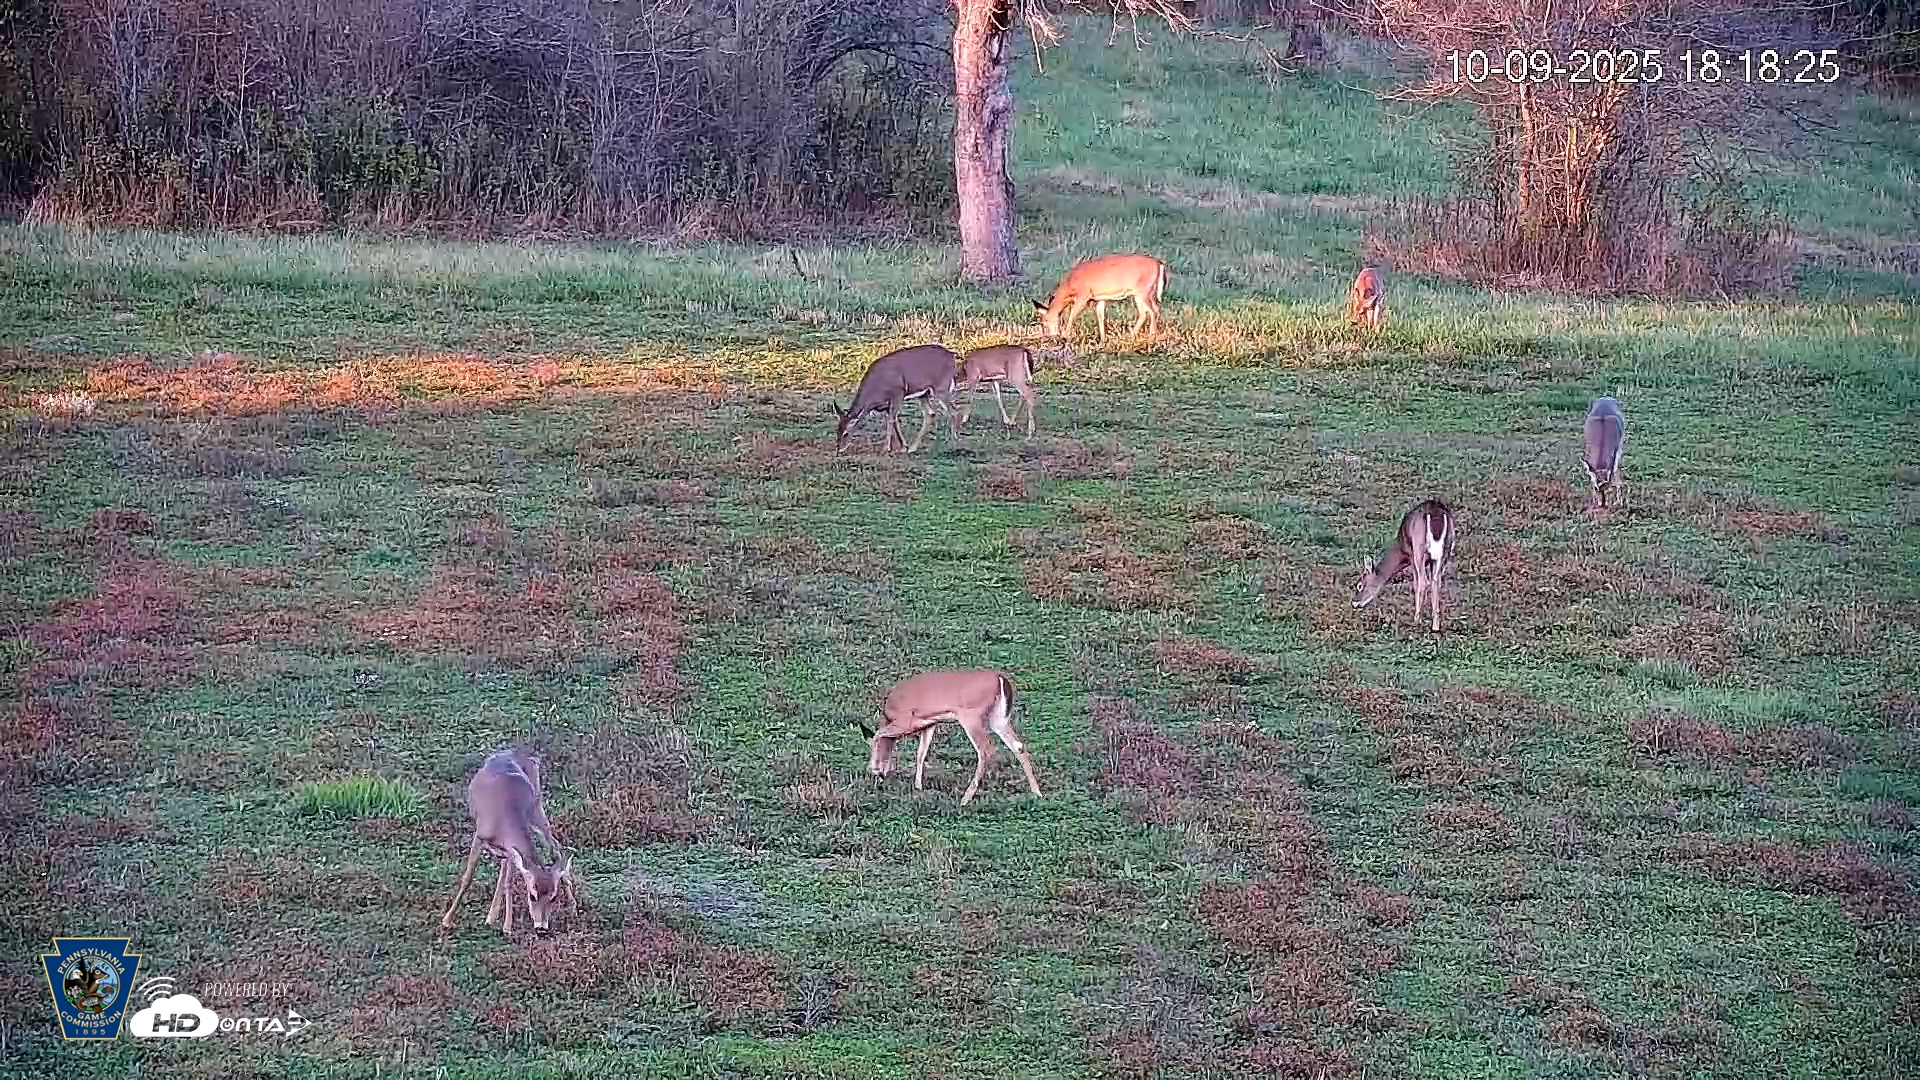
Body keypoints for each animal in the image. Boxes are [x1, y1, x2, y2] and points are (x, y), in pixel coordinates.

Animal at [440, 746, 578, 938]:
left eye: (553, 897)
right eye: (532, 896)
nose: (542, 928)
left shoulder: (511, 850)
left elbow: (508, 884)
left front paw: (507, 927)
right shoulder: (480, 836)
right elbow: (467, 878)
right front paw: (447, 920)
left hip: (537, 810)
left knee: (556, 848)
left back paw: (573, 905)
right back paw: (490, 918)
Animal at [834, 344, 962, 454]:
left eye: (846, 433)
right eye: (837, 431)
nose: (839, 449)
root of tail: (952, 355)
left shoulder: (898, 393)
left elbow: (891, 420)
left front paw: (886, 448)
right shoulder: (887, 404)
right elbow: (894, 420)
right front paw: (903, 446)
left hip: (941, 387)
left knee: (953, 411)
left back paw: (953, 445)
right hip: (924, 394)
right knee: (931, 413)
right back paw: (913, 448)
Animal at [854, 670, 1042, 808]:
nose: (879, 775)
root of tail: (1001, 679)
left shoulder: (906, 720)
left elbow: (878, 735)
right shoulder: (930, 724)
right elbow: (921, 753)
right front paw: (918, 787)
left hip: (971, 716)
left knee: (985, 749)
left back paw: (965, 799)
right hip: (999, 719)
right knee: (1018, 745)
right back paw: (1037, 792)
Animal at [1032, 254, 1167, 343]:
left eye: (1044, 322)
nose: (1050, 337)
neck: (1070, 285)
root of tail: (1159, 264)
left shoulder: (1084, 295)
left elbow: (1072, 314)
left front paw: (1065, 336)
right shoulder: (1100, 299)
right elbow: (1100, 316)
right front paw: (1102, 340)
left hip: (1144, 290)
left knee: (1154, 310)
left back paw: (1151, 336)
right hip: (1138, 293)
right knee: (1146, 312)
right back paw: (1131, 335)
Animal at [1353, 499, 1456, 633]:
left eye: (1360, 585)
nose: (1354, 603)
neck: (1401, 551)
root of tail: (1437, 514)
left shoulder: (1411, 556)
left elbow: (1416, 584)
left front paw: (1418, 618)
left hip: (1419, 549)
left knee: (1424, 582)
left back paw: (1417, 621)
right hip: (1446, 549)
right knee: (1436, 582)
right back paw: (1435, 626)